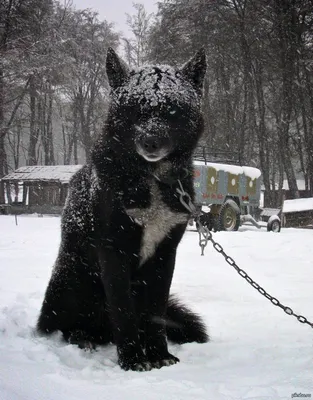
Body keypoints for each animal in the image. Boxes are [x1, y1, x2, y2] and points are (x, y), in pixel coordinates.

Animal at [37, 47, 207, 372]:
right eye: (135, 109)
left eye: (172, 110)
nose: (151, 141)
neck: (150, 178)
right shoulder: (113, 252)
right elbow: (123, 312)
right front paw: (132, 360)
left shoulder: (165, 255)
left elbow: (156, 314)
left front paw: (159, 354)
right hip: (74, 281)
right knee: (65, 326)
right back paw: (83, 338)